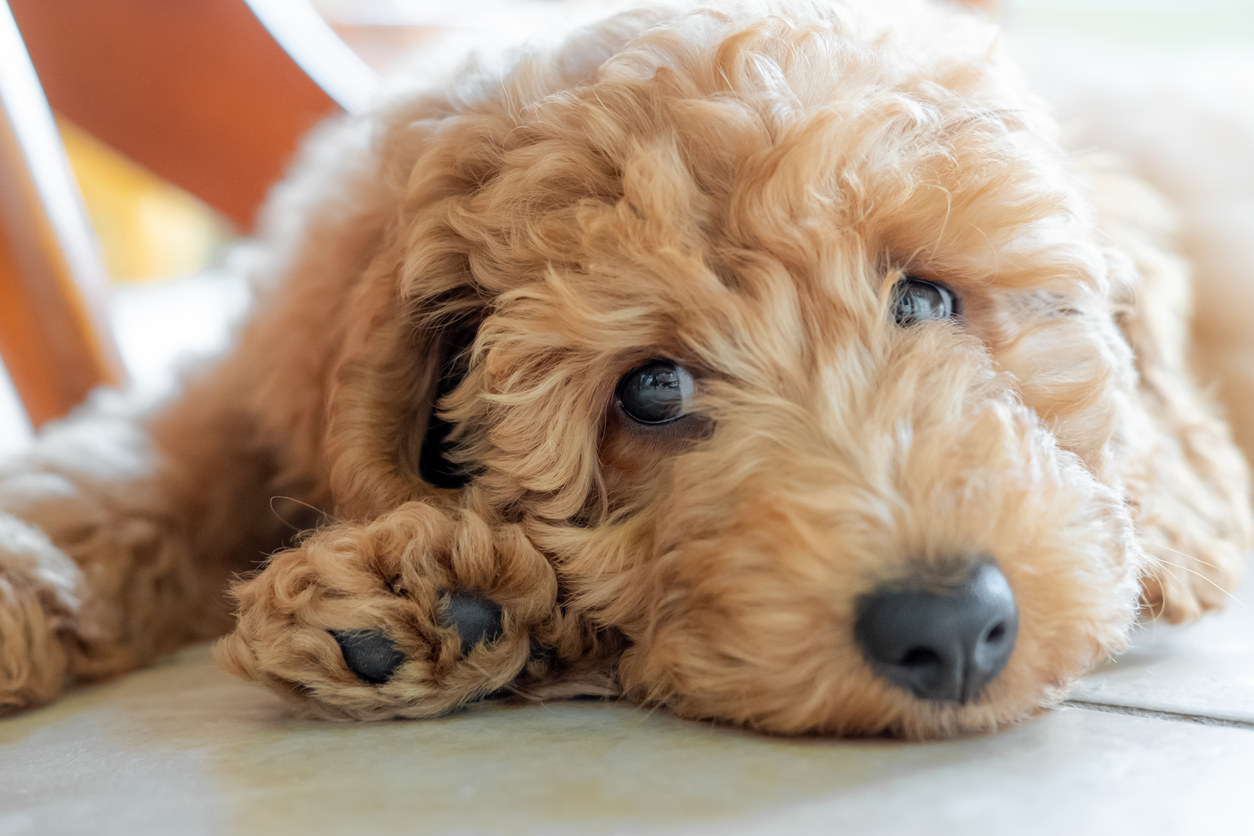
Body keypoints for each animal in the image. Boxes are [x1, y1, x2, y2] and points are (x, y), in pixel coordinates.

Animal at [2, 0, 1254, 736]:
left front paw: (419, 589)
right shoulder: (261, 360)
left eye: (928, 298)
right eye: (649, 389)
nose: (948, 627)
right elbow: (145, 459)